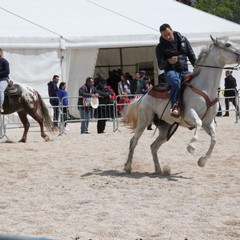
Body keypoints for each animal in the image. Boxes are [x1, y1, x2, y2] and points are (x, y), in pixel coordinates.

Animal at [123, 35, 239, 173]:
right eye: (227, 45)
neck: (205, 88)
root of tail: (145, 96)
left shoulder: (208, 122)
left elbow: (214, 138)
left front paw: (202, 161)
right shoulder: (190, 114)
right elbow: (198, 124)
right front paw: (191, 147)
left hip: (166, 129)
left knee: (153, 146)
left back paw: (159, 169)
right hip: (144, 120)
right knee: (133, 141)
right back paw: (128, 166)